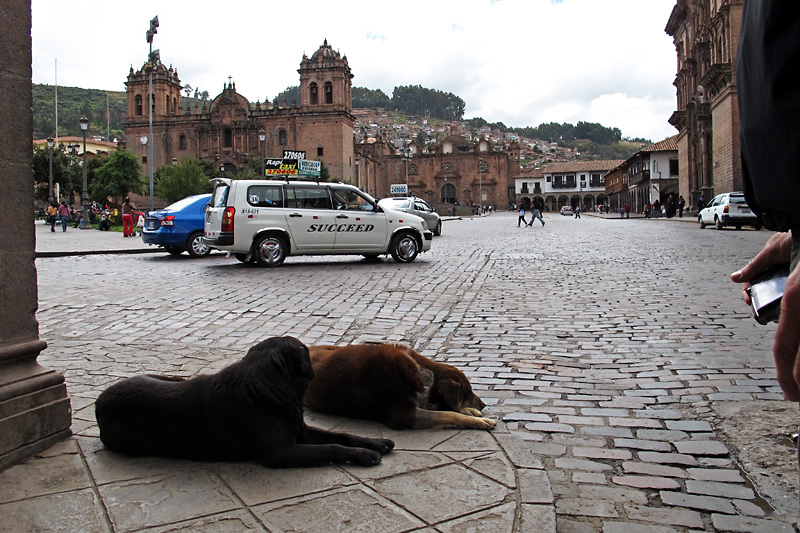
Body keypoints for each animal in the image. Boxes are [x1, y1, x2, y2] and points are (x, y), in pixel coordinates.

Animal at [95, 336, 396, 466]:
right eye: (306, 352)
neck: (269, 388)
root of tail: (100, 399)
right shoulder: (279, 452)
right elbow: (331, 447)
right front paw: (363, 455)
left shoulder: (301, 430)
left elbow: (343, 435)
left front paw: (373, 442)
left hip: (169, 377)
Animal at [304, 342, 494, 430]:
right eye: (468, 391)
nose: (484, 404)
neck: (423, 373)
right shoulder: (405, 415)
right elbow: (448, 414)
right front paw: (476, 420)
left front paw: (469, 411)